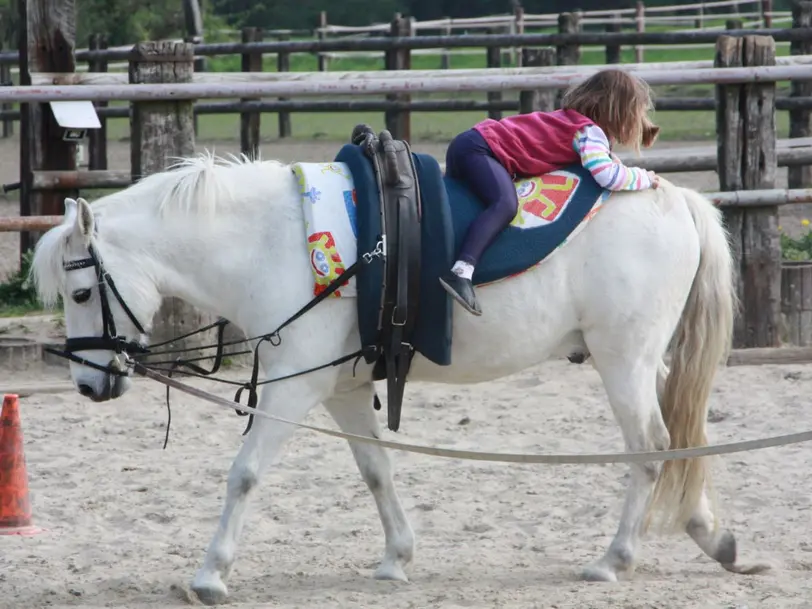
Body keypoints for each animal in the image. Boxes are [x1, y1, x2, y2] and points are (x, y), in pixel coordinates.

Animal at [30, 151, 768, 604]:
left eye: (79, 294)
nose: (89, 383)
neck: (272, 243)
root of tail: (677, 197)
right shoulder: (346, 387)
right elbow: (376, 470)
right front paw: (397, 557)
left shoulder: (293, 386)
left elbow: (245, 474)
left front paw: (211, 573)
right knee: (679, 439)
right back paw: (716, 537)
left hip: (625, 359)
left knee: (651, 446)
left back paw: (615, 558)